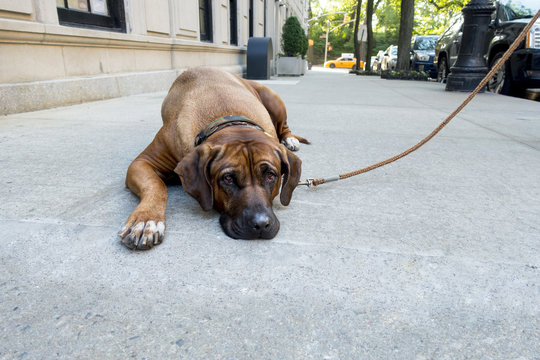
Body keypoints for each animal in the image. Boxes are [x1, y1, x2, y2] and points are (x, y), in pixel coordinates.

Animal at [120, 66, 310, 249]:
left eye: (271, 176)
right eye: (228, 179)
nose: (261, 224)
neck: (228, 119)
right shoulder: (142, 162)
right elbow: (155, 184)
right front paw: (146, 219)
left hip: (272, 99)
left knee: (284, 126)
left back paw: (289, 139)